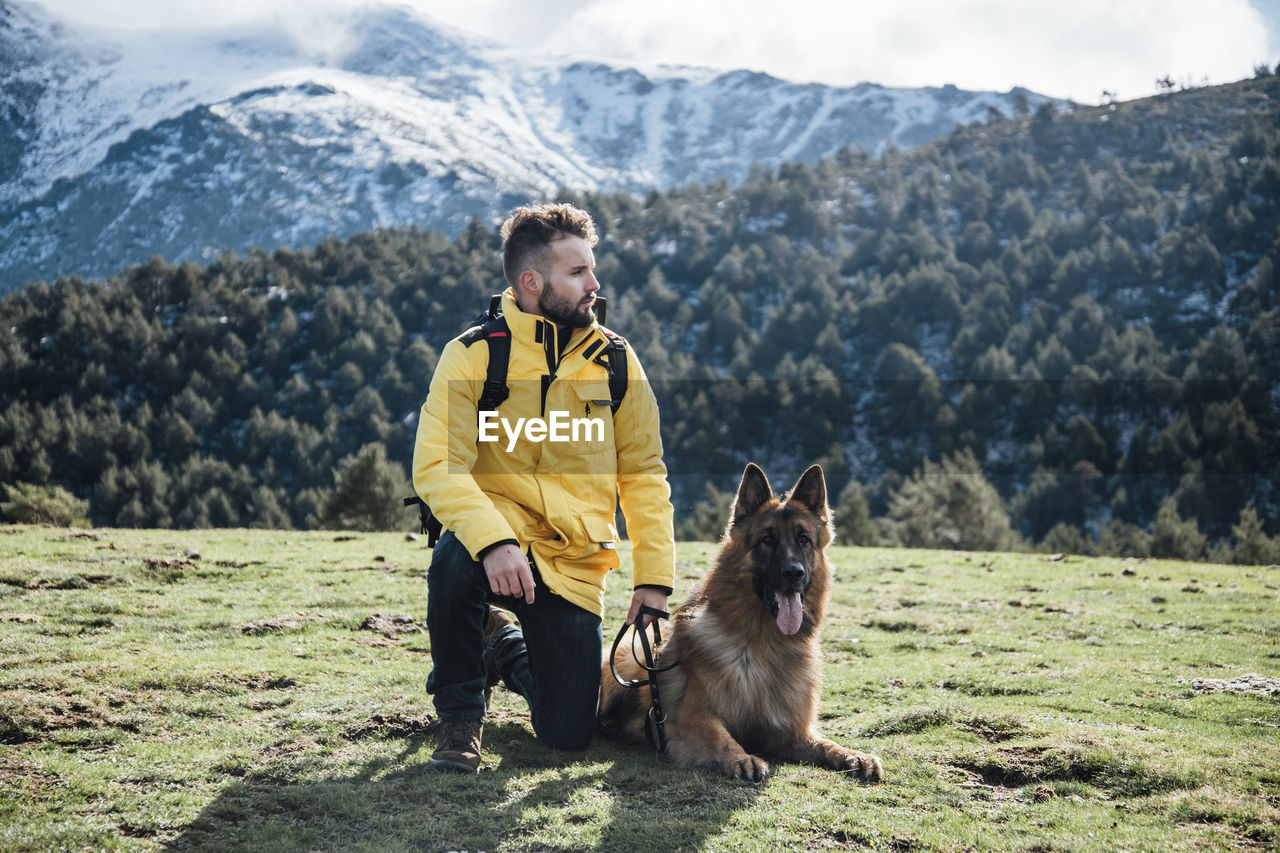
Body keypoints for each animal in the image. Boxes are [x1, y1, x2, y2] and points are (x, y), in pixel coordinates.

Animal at [596, 461, 880, 778]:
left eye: (803, 539)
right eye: (767, 539)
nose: (794, 573)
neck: (764, 644)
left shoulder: (790, 733)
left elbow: (825, 744)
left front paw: (852, 754)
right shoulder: (689, 718)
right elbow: (720, 735)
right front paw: (741, 757)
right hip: (624, 664)